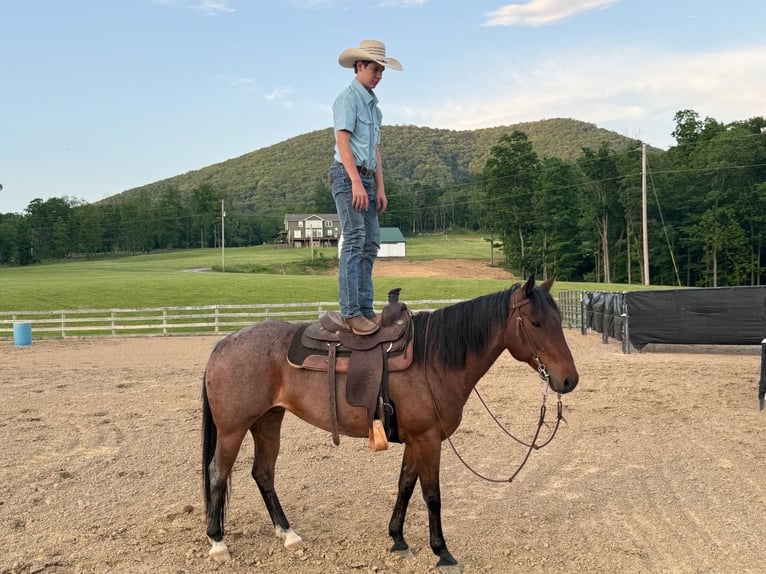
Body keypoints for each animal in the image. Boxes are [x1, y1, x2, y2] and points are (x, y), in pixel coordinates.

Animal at [201, 275, 579, 571]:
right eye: (536, 323)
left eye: (559, 319)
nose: (569, 380)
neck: (433, 359)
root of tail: (225, 343)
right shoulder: (427, 439)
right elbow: (431, 495)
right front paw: (442, 552)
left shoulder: (417, 438)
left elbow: (405, 486)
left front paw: (398, 539)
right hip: (233, 429)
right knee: (219, 474)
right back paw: (218, 543)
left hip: (268, 422)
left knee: (263, 473)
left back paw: (288, 534)